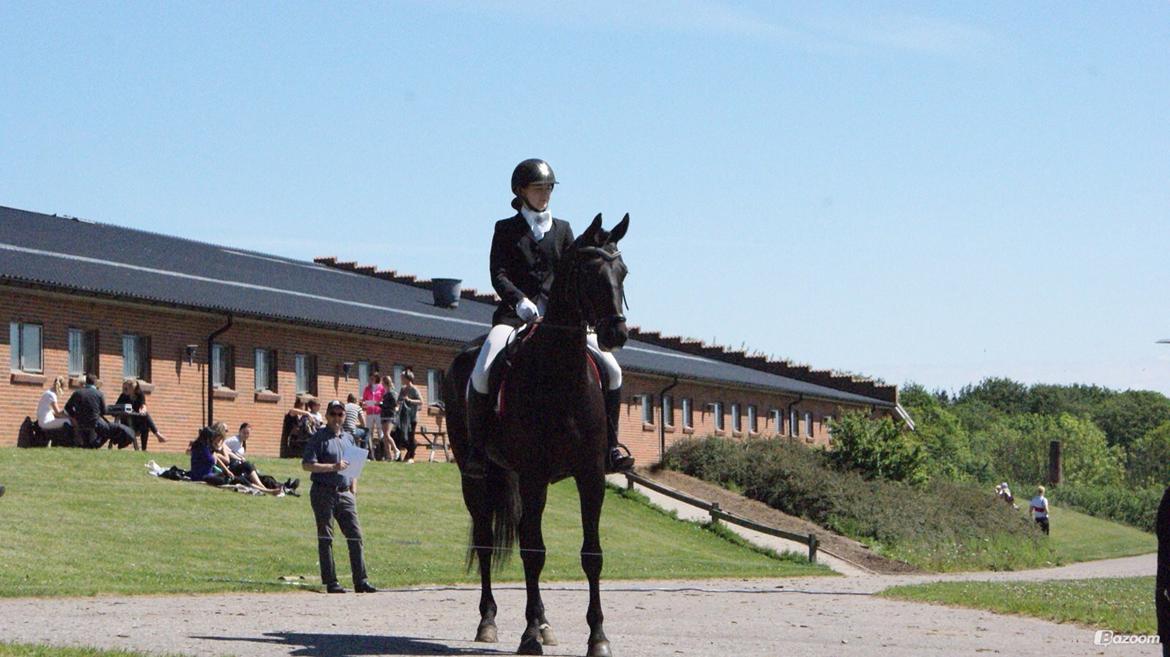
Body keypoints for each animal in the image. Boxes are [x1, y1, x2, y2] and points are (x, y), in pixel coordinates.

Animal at [444, 212, 631, 649]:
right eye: (589, 272)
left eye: (623, 272)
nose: (616, 334)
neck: (561, 376)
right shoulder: (534, 476)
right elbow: (533, 552)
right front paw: (528, 636)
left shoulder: (590, 475)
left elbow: (591, 553)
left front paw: (597, 637)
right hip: (475, 477)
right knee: (485, 538)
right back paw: (489, 621)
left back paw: (545, 624)